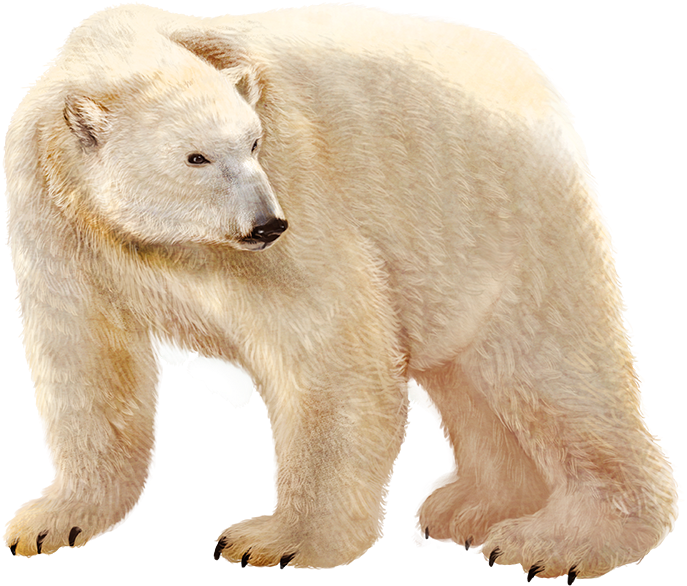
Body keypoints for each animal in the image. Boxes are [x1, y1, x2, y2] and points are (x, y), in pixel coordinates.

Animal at [3, 2, 680, 577]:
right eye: (196, 157)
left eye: (252, 142)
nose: (267, 224)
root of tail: (532, 76)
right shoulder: (59, 226)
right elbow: (86, 364)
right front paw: (54, 521)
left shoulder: (298, 192)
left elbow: (327, 352)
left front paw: (274, 541)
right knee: (467, 380)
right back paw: (469, 506)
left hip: (498, 223)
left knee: (552, 371)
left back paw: (554, 539)